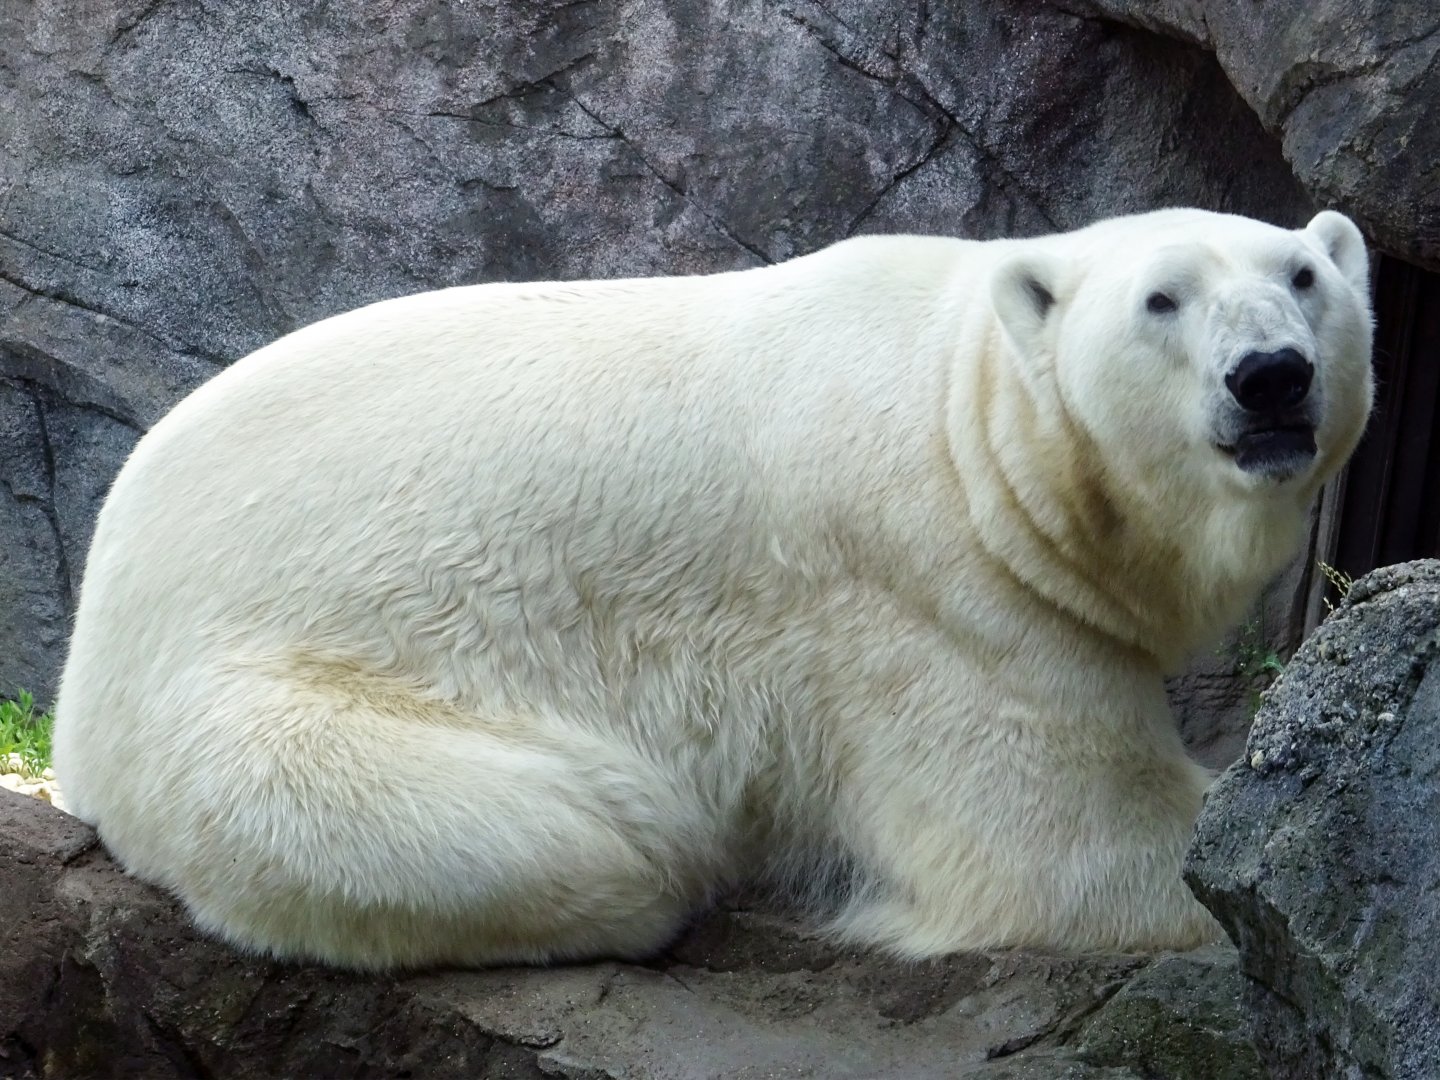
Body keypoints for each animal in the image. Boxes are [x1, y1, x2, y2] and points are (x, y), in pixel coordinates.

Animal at [52, 208, 1374, 971]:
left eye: (1305, 274)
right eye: (1162, 299)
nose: (1270, 377)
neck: (976, 425)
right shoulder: (931, 594)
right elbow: (1078, 844)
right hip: (270, 706)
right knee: (589, 845)